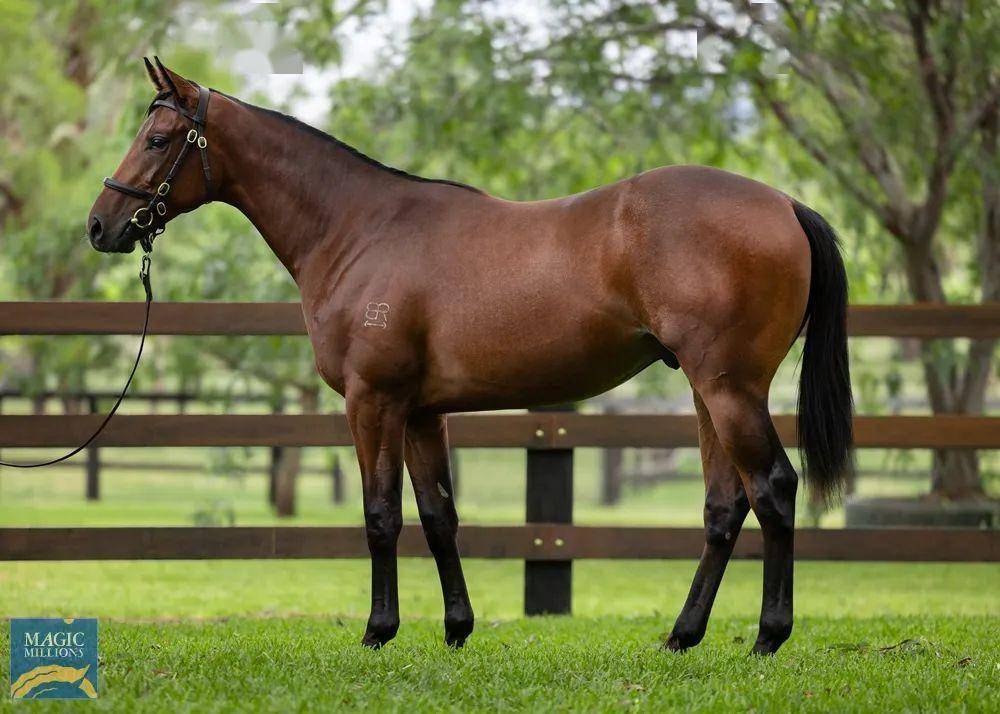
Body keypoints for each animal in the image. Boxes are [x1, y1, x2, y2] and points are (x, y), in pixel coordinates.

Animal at [90, 58, 852, 652]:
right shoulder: (422, 412)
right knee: (726, 507)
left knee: (773, 489)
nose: (101, 225)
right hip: (706, 391)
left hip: (729, 389)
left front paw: (378, 631)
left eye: (157, 138)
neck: (359, 229)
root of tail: (784, 204)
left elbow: (381, 515)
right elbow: (438, 517)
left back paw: (768, 636)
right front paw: (457, 628)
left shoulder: (373, 401)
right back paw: (683, 635)